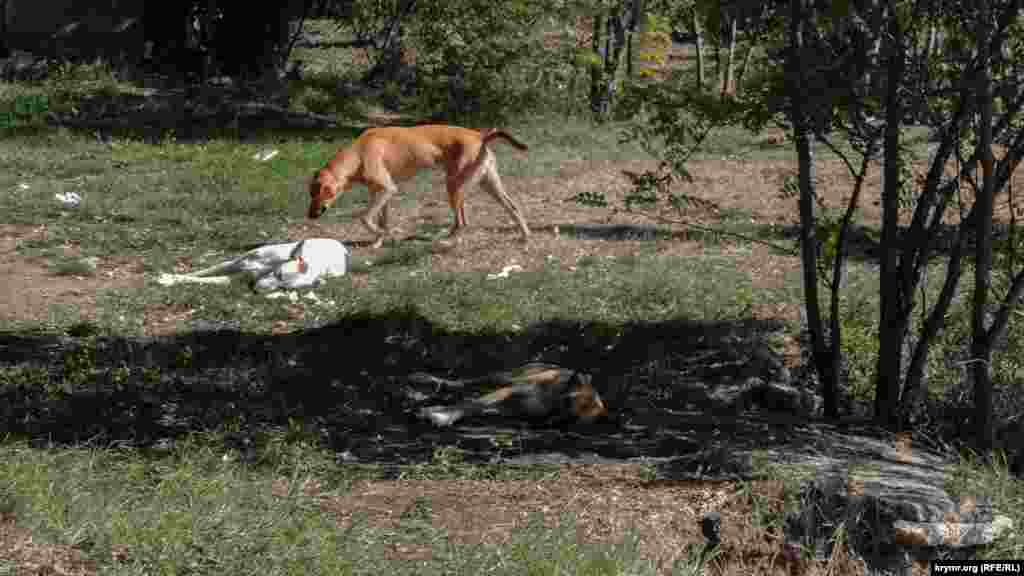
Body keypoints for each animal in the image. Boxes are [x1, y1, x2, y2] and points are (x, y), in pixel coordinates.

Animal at [157, 238, 350, 291]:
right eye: (279, 274)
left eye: (284, 289)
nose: (258, 289)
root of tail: (343, 249)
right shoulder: (235, 261)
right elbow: (200, 273)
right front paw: (170, 275)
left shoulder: (234, 277)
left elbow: (214, 280)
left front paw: (170, 280)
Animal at [307, 124, 532, 245]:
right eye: (310, 194)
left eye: (318, 193)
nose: (310, 216)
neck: (359, 153)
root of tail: (480, 135)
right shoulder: (382, 194)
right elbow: (381, 221)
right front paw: (379, 241)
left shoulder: (387, 190)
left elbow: (364, 218)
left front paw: (379, 236)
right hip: (486, 185)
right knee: (513, 208)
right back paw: (525, 236)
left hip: (453, 186)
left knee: (462, 222)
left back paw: (446, 241)